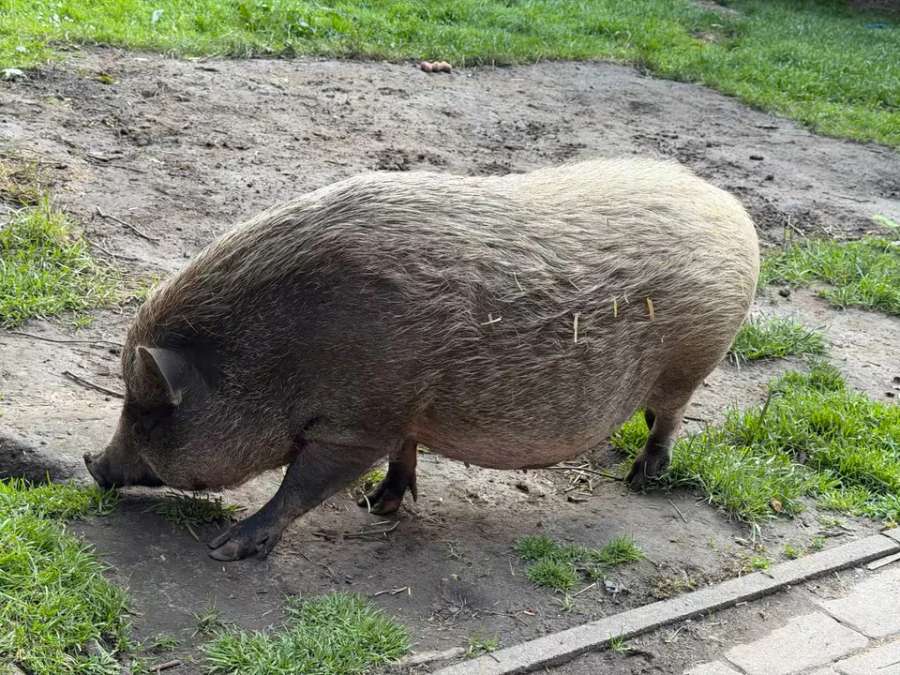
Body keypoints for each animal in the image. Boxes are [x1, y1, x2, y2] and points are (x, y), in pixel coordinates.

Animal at [84, 158, 759, 561]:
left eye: (148, 409)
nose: (92, 465)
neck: (275, 355)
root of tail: (732, 207)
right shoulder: (400, 412)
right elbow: (402, 455)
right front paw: (377, 507)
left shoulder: (357, 423)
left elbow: (301, 485)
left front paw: (227, 548)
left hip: (692, 360)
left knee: (671, 417)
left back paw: (642, 480)